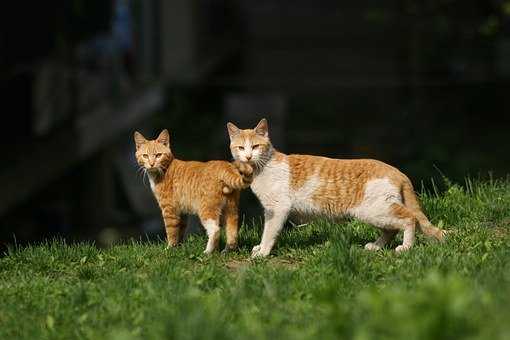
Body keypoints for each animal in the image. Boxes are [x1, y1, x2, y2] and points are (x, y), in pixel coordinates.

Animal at [227, 118, 446, 256]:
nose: (248, 156)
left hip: (375, 210)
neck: (263, 166)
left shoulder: (277, 209)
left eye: (255, 147)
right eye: (241, 147)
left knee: (409, 219)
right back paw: (376, 246)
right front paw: (259, 248)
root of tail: (397, 171)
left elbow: (269, 232)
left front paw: (263, 252)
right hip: (374, 212)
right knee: (391, 229)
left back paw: (406, 247)